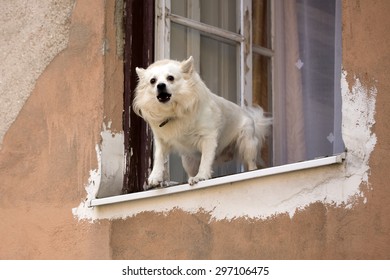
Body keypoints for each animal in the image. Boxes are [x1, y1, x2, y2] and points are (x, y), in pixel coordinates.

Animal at [133, 55, 272, 189]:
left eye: (170, 78)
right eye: (153, 81)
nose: (160, 85)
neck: (174, 111)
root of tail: (249, 116)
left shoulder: (208, 138)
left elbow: (205, 160)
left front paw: (201, 177)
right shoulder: (161, 141)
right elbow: (159, 157)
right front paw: (155, 177)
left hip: (247, 144)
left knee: (252, 164)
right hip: (188, 160)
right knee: (190, 172)